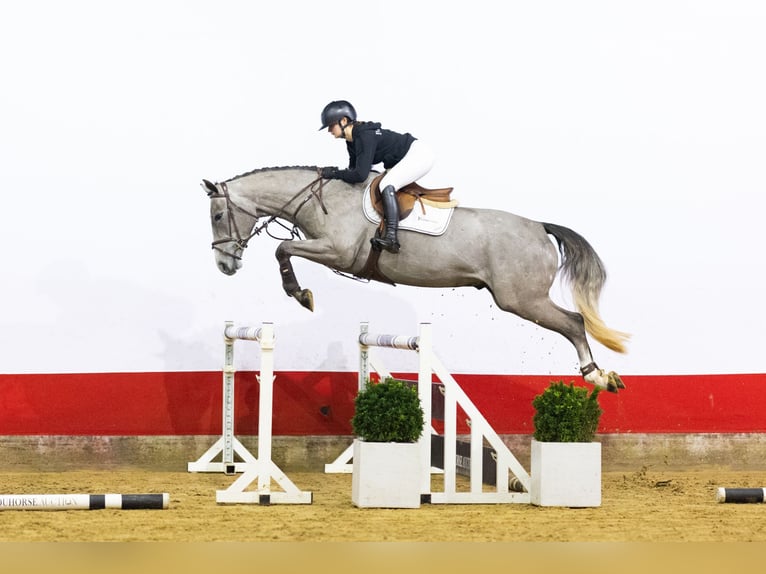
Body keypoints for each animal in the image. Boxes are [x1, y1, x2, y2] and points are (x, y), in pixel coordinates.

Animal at [201, 166, 629, 392]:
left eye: (218, 216)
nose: (224, 265)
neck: (320, 200)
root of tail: (540, 227)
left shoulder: (337, 252)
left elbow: (283, 249)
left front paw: (300, 294)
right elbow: (285, 249)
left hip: (521, 299)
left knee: (574, 322)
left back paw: (599, 377)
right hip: (522, 299)